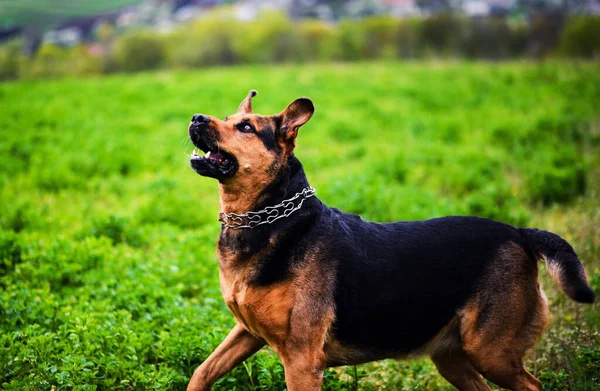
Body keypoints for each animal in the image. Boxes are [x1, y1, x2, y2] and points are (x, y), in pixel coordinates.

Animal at [186, 91, 596, 391]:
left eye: (246, 127)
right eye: (227, 118)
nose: (196, 118)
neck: (268, 217)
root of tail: (520, 233)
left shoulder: (302, 360)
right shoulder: (245, 332)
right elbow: (201, 372)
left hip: (492, 350)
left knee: (532, 385)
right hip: (454, 357)